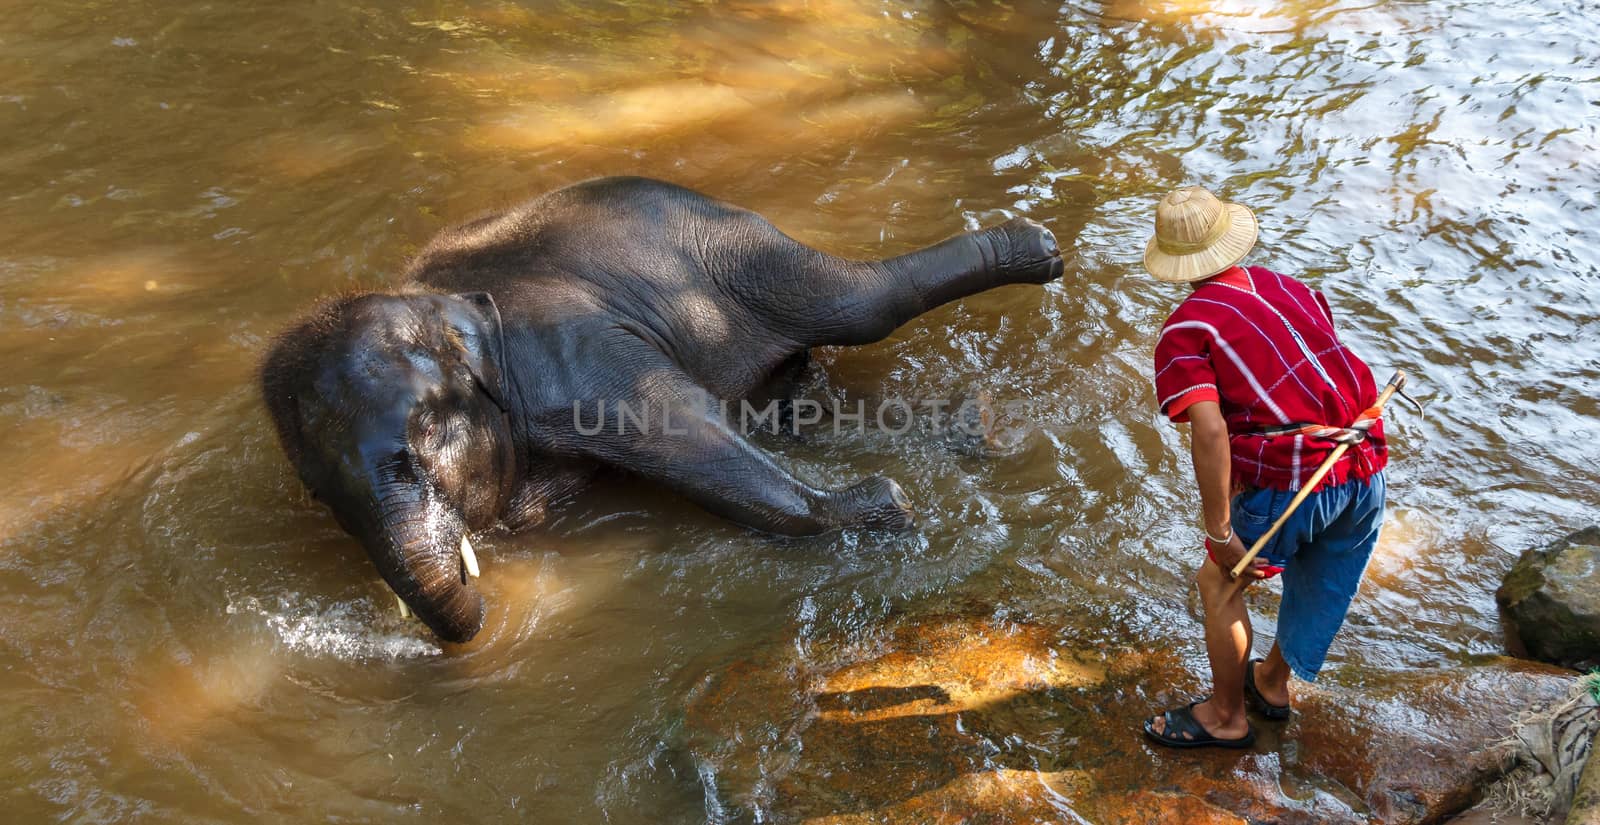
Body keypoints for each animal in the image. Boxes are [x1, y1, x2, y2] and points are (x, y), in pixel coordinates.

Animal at [259, 177, 1062, 642]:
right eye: (320, 495)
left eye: (426, 435)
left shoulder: (566, 347)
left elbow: (679, 421)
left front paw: (883, 509)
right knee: (793, 402)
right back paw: (978, 427)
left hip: (740, 254)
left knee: (861, 302)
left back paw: (1039, 249)